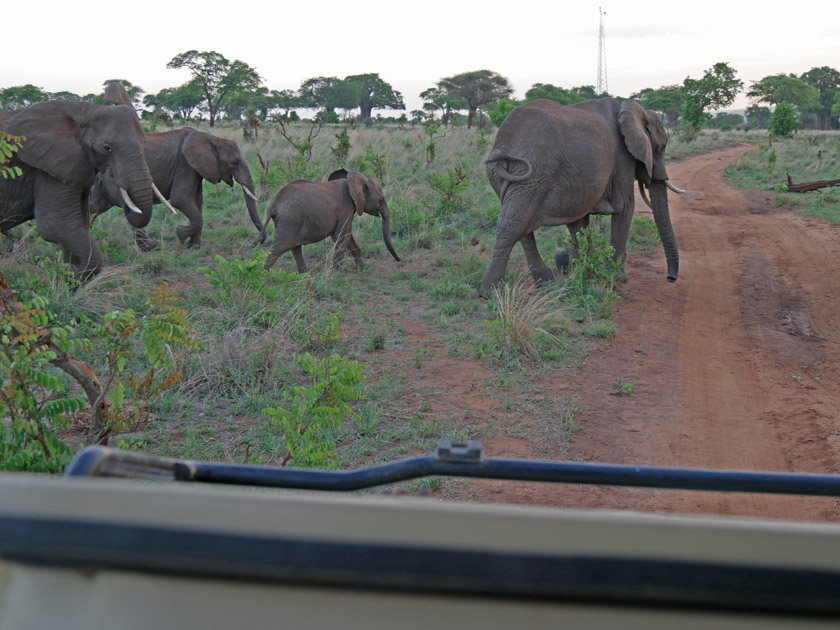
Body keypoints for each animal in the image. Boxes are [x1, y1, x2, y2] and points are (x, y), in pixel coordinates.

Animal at [0, 84, 160, 282]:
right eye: (107, 148)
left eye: (144, 142)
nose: (155, 244)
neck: (85, 113)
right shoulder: (48, 167)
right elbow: (56, 226)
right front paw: (67, 272)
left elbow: (76, 226)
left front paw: (66, 271)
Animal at [87, 128, 260, 249]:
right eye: (234, 163)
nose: (254, 244)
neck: (211, 138)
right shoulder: (184, 164)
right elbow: (180, 200)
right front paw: (181, 235)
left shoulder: (194, 169)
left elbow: (198, 202)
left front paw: (194, 246)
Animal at [256, 169, 400, 272]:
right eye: (381, 200)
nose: (399, 260)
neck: (353, 180)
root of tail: (274, 203)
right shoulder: (346, 206)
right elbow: (341, 235)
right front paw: (336, 272)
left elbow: (346, 236)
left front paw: (361, 268)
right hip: (290, 219)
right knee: (280, 247)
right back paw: (264, 275)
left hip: (290, 220)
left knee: (295, 247)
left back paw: (304, 274)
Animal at [480, 97, 684, 298]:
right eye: (661, 147)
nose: (670, 278)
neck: (633, 111)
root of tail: (503, 143)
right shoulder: (623, 158)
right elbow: (624, 207)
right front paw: (619, 277)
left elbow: (579, 223)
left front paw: (584, 271)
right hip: (533, 172)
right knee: (513, 225)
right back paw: (490, 291)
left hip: (508, 176)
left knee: (519, 224)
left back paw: (546, 282)